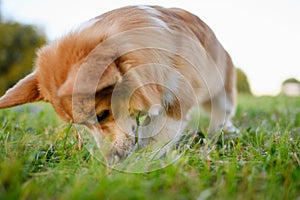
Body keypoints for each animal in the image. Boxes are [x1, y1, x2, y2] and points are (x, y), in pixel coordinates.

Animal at [0, 5, 237, 160]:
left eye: (102, 114)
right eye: (82, 125)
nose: (110, 159)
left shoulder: (176, 103)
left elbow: (159, 135)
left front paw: (141, 162)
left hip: (222, 89)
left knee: (223, 113)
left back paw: (223, 131)